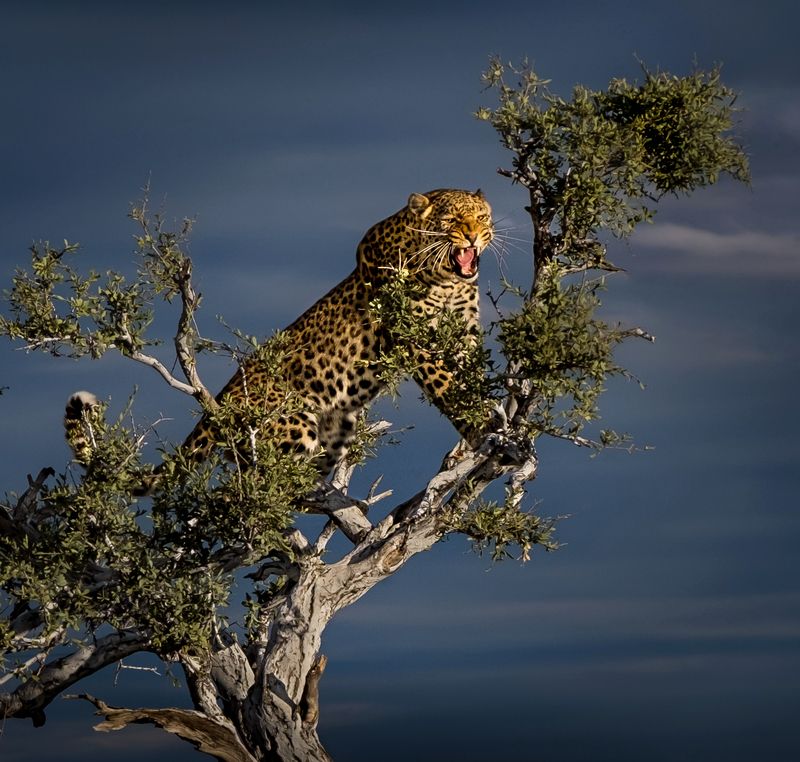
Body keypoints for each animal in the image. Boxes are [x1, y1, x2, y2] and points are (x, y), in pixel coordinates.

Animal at [65, 188, 494, 481]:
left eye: (482, 217)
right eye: (453, 220)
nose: (474, 237)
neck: (447, 280)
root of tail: (220, 406)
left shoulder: (465, 333)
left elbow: (471, 379)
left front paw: (480, 428)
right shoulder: (416, 340)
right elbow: (447, 388)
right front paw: (483, 430)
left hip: (336, 427)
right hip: (295, 424)